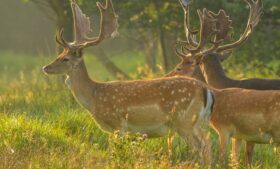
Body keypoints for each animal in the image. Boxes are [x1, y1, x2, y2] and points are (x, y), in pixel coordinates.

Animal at [42, 0, 217, 165]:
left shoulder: (118, 124)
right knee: (207, 142)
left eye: (65, 58)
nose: (46, 67)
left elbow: (115, 153)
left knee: (203, 144)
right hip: (194, 122)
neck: (93, 97)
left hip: (184, 121)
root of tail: (206, 90)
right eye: (60, 55)